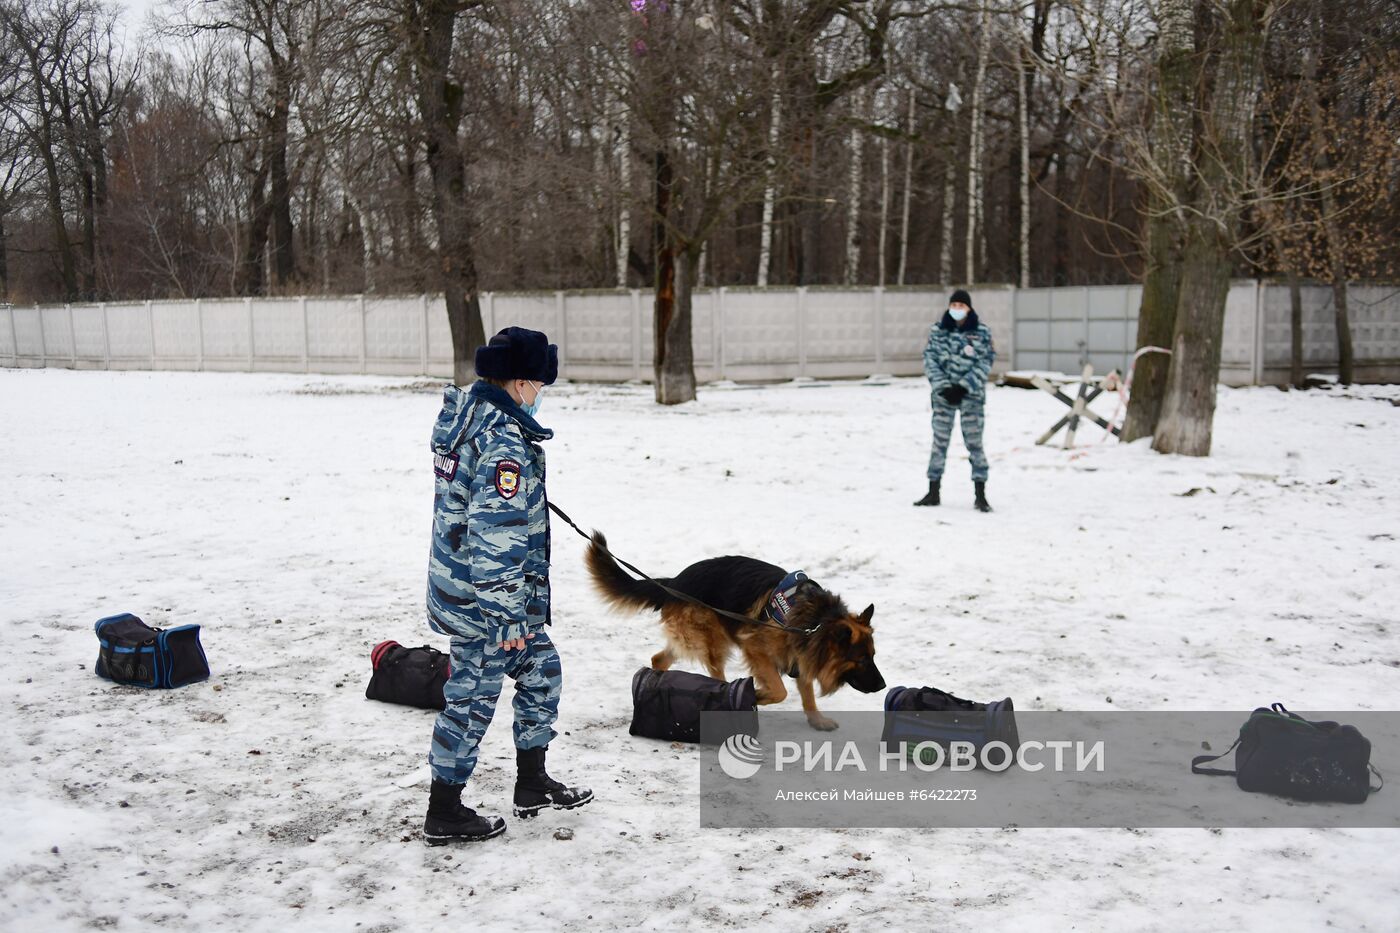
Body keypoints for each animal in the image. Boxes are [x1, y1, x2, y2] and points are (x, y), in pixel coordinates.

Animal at [588, 529, 884, 728]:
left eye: (872, 656)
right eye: (860, 659)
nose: (883, 686)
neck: (817, 621)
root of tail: (675, 581)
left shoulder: (801, 655)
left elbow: (807, 692)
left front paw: (816, 719)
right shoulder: (757, 649)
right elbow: (780, 690)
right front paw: (759, 696)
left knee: (659, 658)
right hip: (713, 639)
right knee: (714, 672)